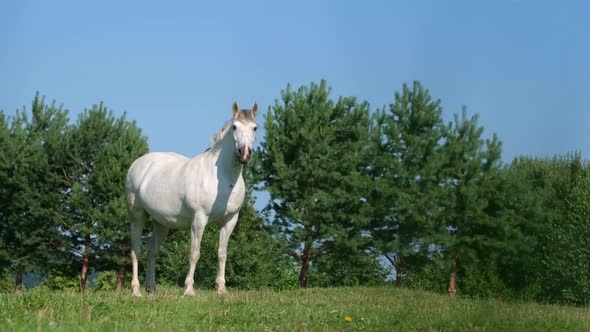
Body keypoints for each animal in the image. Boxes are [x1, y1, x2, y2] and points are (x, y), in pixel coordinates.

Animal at [126, 101, 258, 296]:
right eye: (234, 127)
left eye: (255, 128)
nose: (244, 153)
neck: (222, 178)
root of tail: (138, 163)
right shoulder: (199, 220)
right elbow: (194, 254)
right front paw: (189, 289)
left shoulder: (230, 220)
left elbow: (222, 253)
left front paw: (221, 289)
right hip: (137, 216)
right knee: (135, 251)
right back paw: (136, 291)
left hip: (161, 223)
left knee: (152, 251)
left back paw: (151, 288)